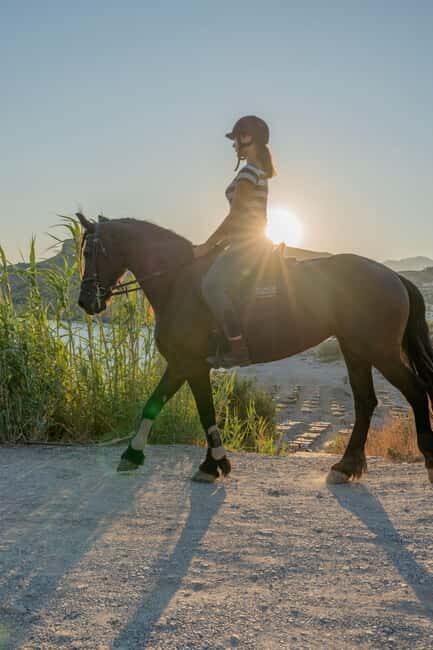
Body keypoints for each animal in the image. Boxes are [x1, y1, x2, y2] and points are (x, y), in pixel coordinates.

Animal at [76, 212, 433, 485]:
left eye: (93, 253)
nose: (86, 301)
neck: (178, 280)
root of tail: (393, 276)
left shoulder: (188, 364)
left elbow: (188, 409)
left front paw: (205, 463)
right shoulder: (184, 365)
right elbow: (173, 407)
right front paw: (201, 462)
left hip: (380, 351)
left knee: (415, 392)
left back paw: (427, 461)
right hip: (356, 349)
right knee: (365, 402)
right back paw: (346, 467)